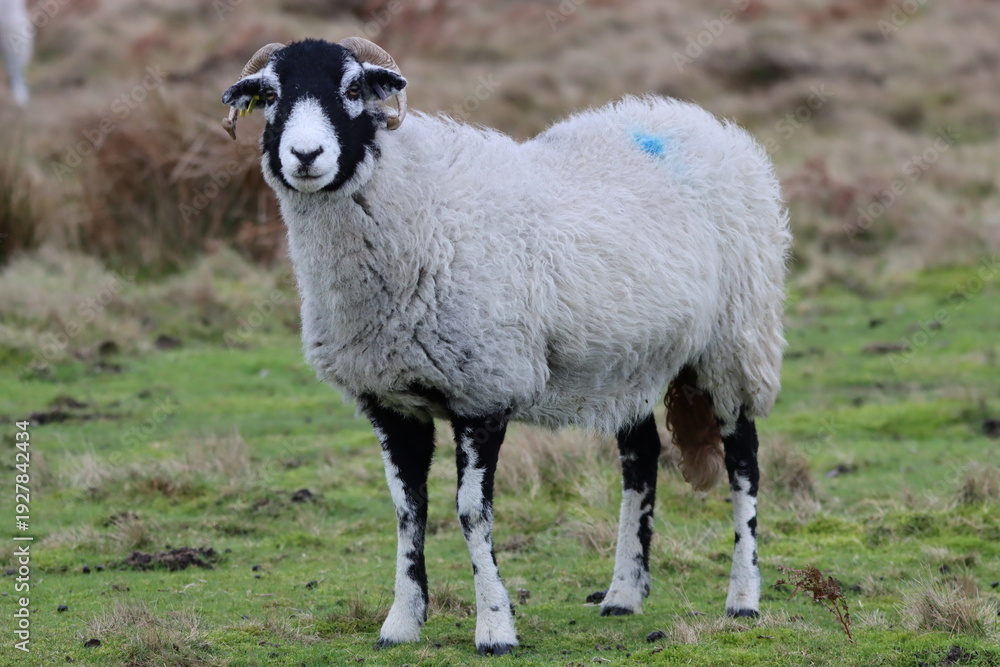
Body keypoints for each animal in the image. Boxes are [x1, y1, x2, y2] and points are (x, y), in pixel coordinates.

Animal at [222, 37, 790, 656]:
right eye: (270, 95)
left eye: (352, 88)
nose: (305, 155)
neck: (416, 206)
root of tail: (697, 119)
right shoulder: (391, 401)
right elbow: (407, 511)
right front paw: (401, 623)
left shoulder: (483, 392)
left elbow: (471, 513)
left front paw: (495, 627)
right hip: (628, 360)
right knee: (640, 459)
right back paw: (623, 593)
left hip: (735, 341)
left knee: (744, 463)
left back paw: (743, 598)